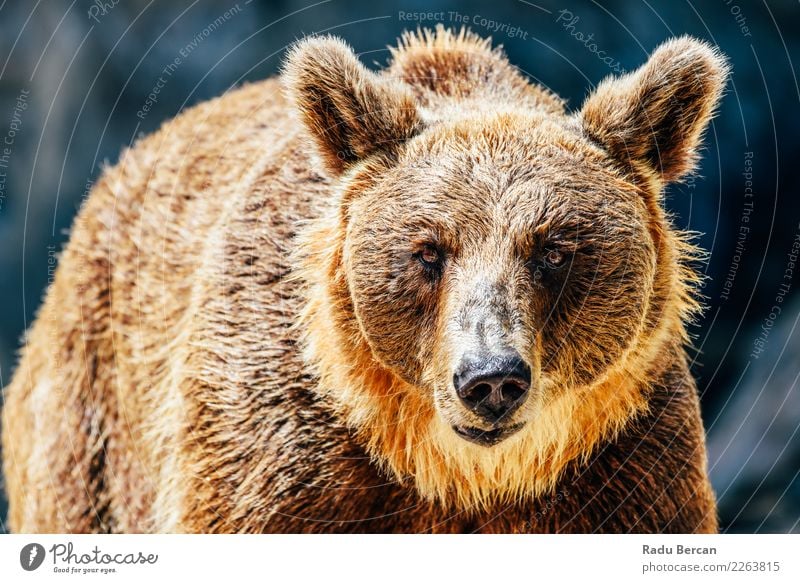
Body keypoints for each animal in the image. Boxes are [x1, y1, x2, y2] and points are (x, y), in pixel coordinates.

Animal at [1, 26, 724, 532]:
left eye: (553, 250)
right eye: (429, 250)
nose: (490, 379)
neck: (455, 474)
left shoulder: (622, 463)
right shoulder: (278, 456)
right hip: (92, 415)